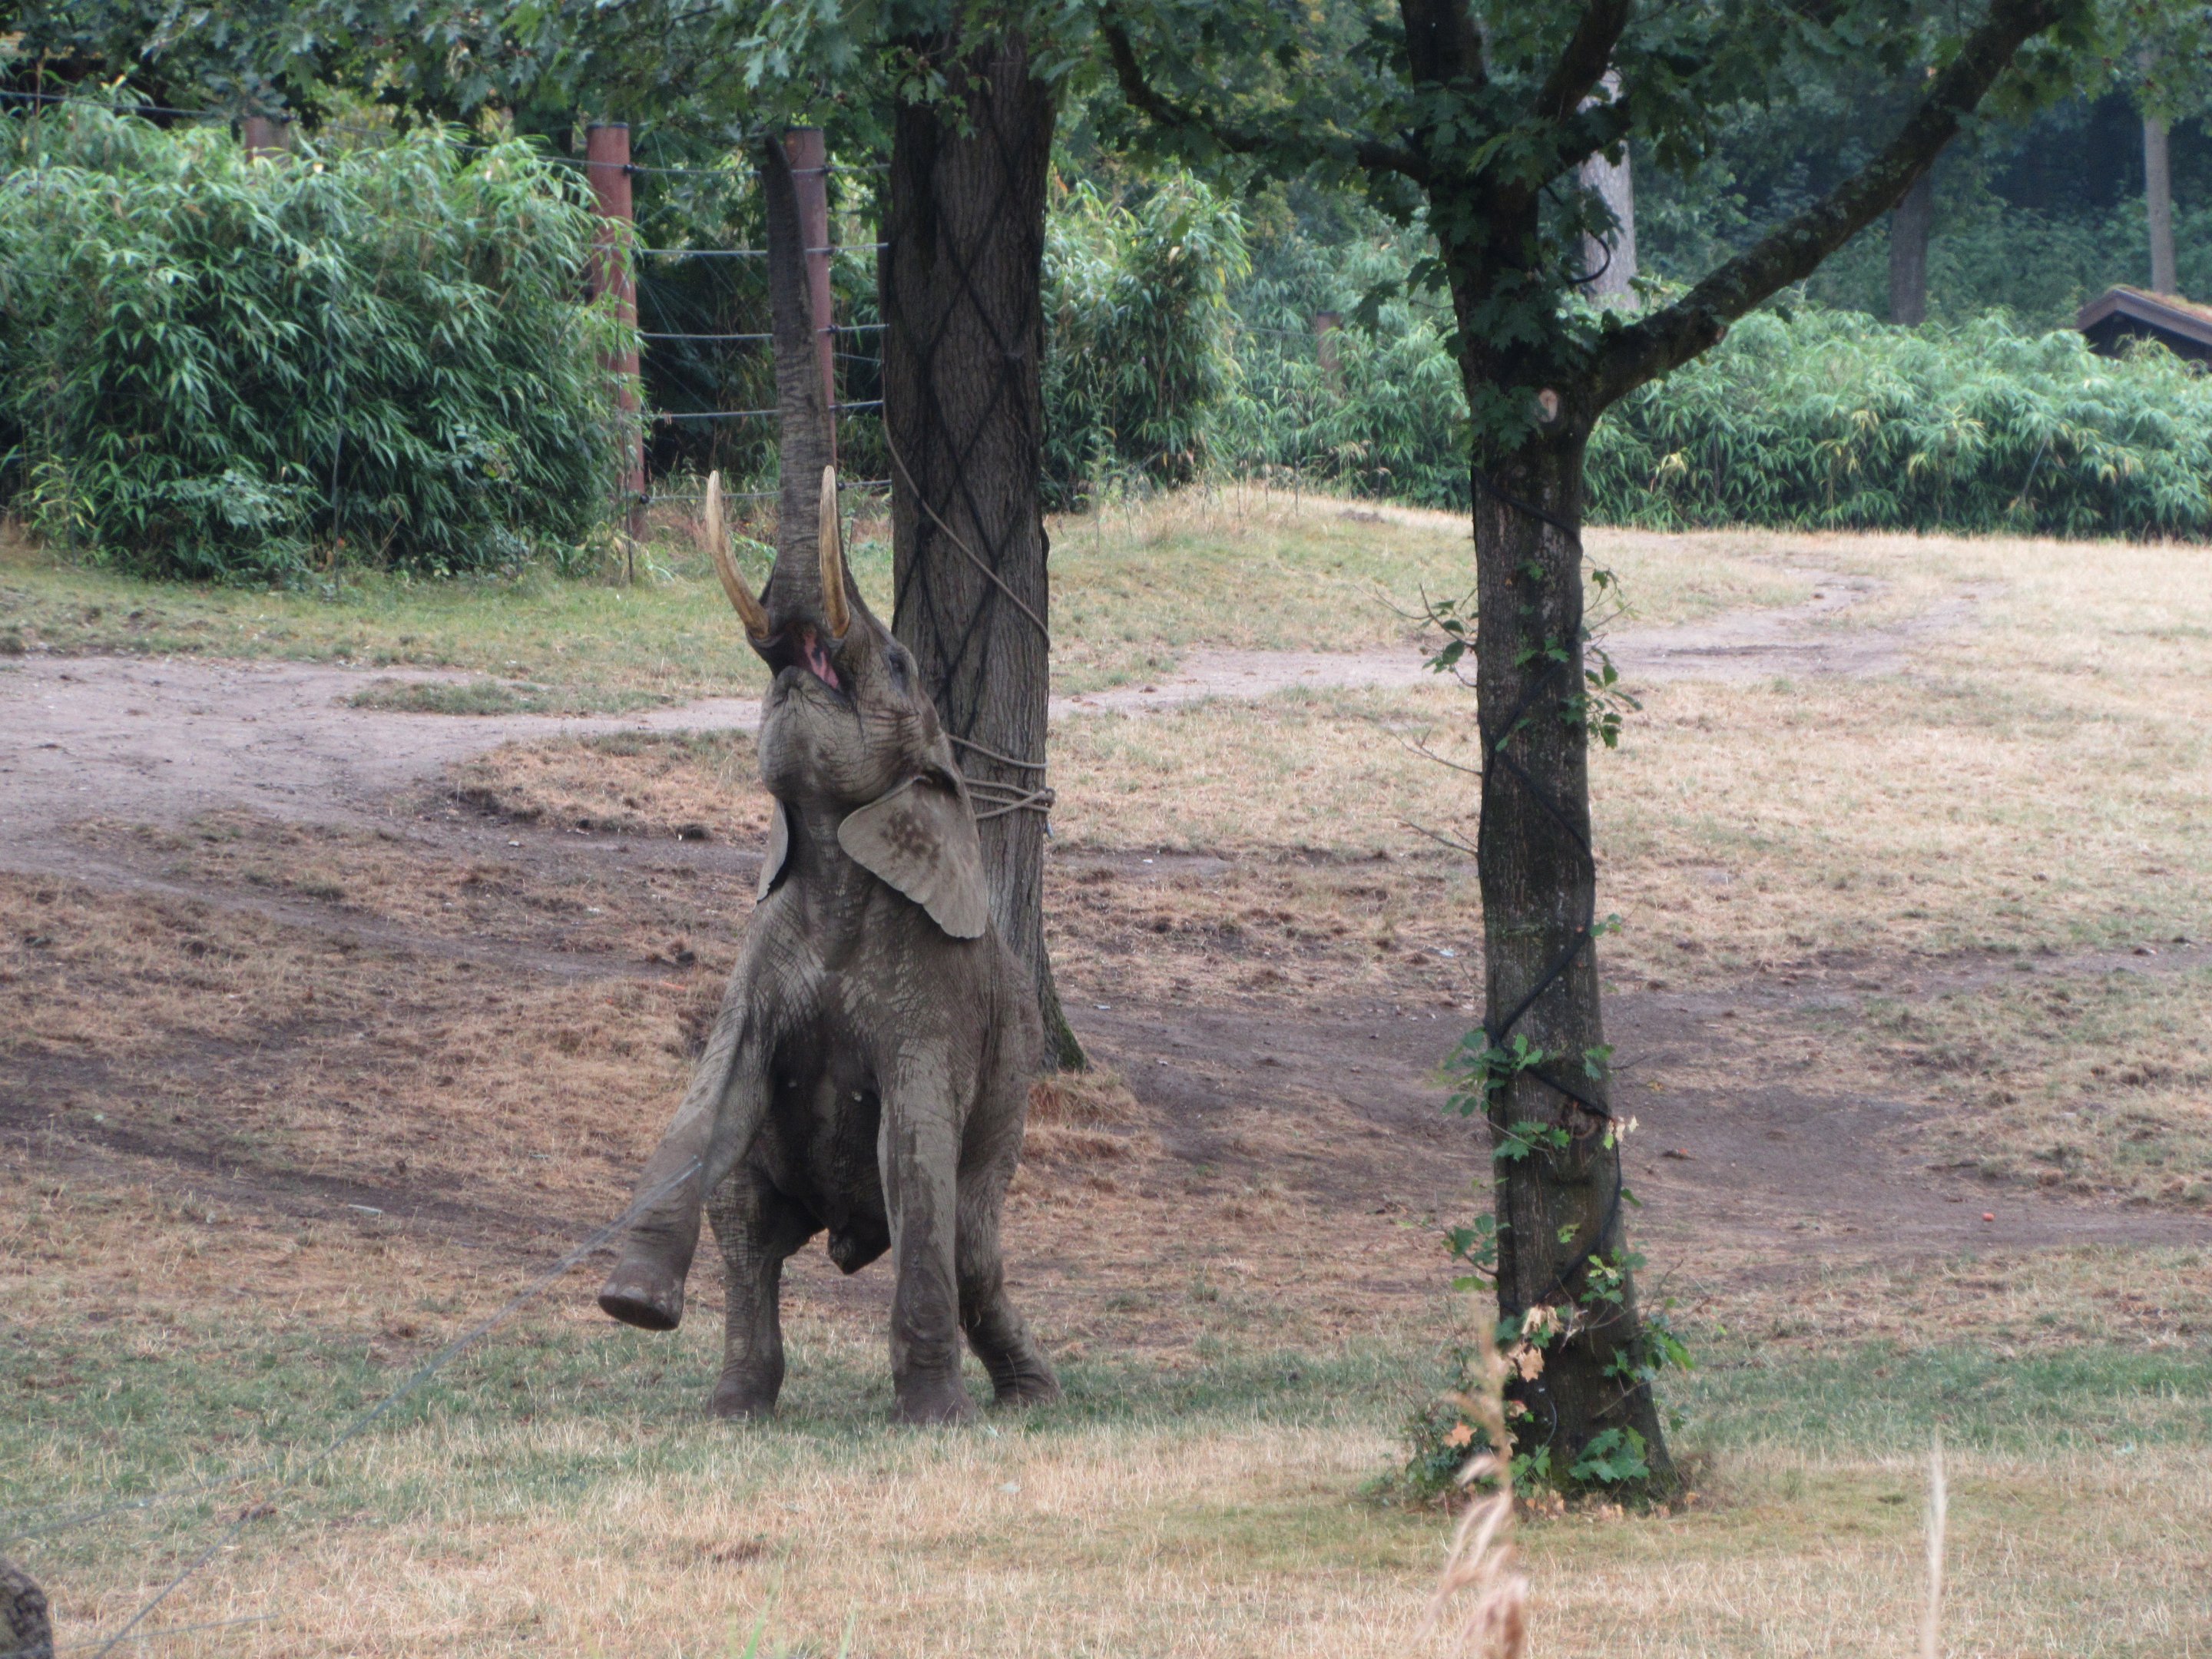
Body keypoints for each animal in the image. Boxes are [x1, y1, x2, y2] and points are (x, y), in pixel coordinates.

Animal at [594, 138, 1059, 1427]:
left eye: (894, 665)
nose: (769, 136)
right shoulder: (762, 948)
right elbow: (710, 1101)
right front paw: (629, 1308)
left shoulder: (938, 999)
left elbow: (914, 1155)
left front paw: (931, 1423)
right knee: (754, 1217)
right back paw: (735, 1407)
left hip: (1009, 1115)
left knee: (971, 1241)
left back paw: (1028, 1397)